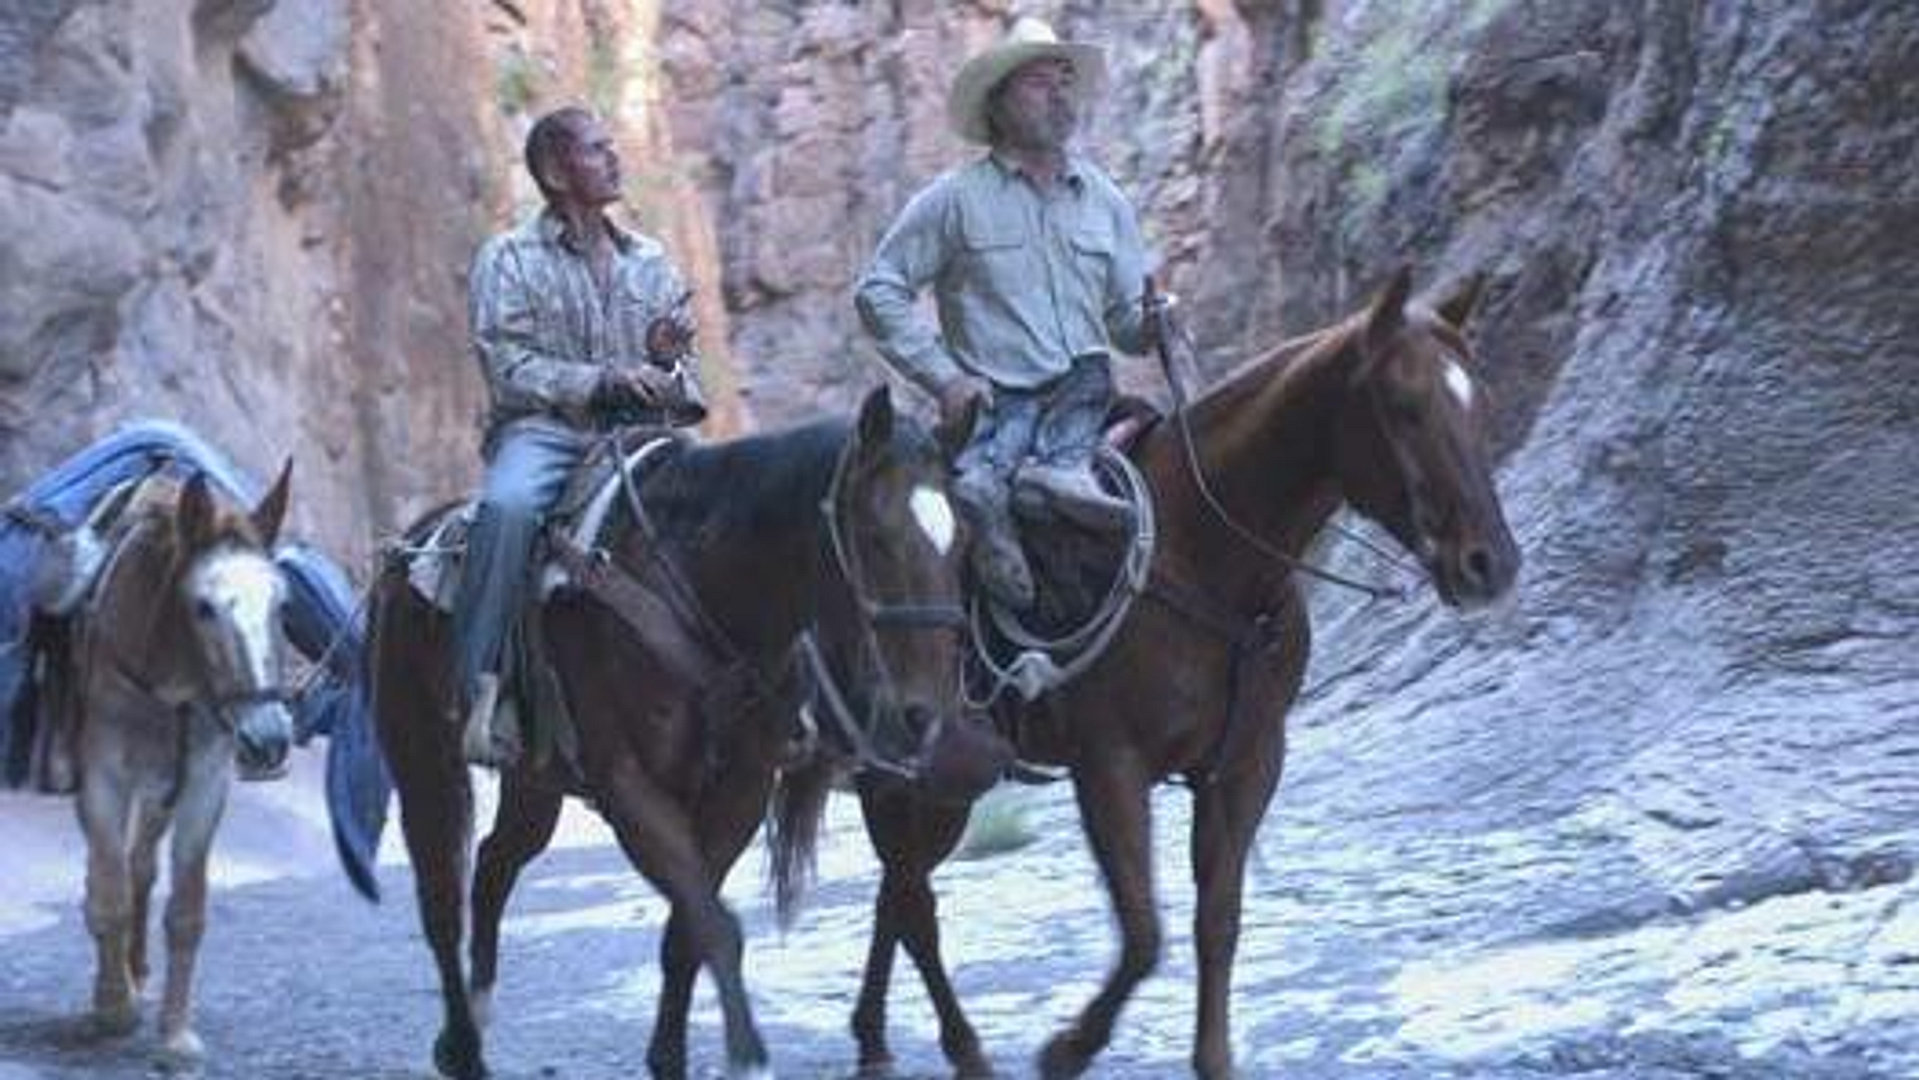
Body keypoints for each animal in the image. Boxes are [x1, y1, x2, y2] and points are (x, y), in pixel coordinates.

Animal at [368, 391, 982, 1080]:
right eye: (875, 536)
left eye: (962, 541)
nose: (925, 716)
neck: (697, 578)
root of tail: (407, 551)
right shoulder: (629, 788)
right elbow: (713, 925)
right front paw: (747, 1053)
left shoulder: (739, 791)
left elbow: (686, 930)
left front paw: (668, 1055)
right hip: (421, 759)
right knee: (440, 899)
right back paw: (463, 1047)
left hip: (535, 782)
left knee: (496, 862)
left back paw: (474, 1017)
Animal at [836, 272, 1512, 1080]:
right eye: (1404, 406)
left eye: (1477, 399)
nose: (1490, 564)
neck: (1204, 556)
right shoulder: (1110, 767)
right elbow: (1143, 933)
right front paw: (1065, 1050)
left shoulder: (1246, 763)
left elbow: (1217, 919)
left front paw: (1210, 1058)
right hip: (907, 775)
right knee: (911, 900)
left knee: (896, 893)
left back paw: (874, 1040)